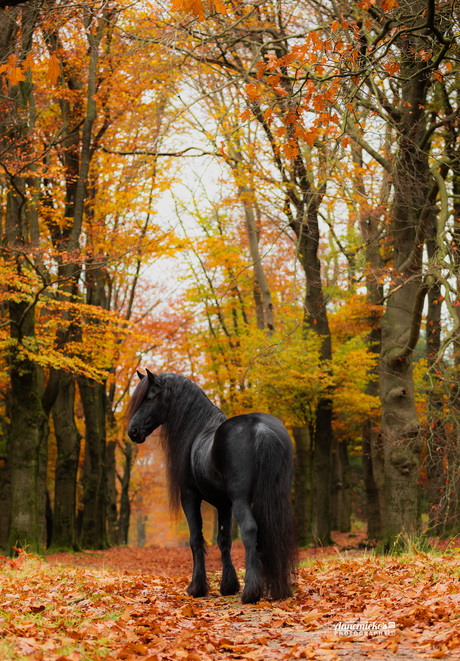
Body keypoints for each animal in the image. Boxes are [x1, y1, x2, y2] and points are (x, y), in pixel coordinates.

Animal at [127, 368, 296, 600]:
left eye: (151, 397)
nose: (132, 431)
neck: (198, 430)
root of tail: (262, 429)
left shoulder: (189, 497)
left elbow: (196, 539)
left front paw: (196, 587)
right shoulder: (223, 504)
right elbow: (224, 540)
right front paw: (228, 586)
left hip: (241, 499)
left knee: (250, 530)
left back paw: (250, 592)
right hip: (277, 496)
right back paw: (279, 590)